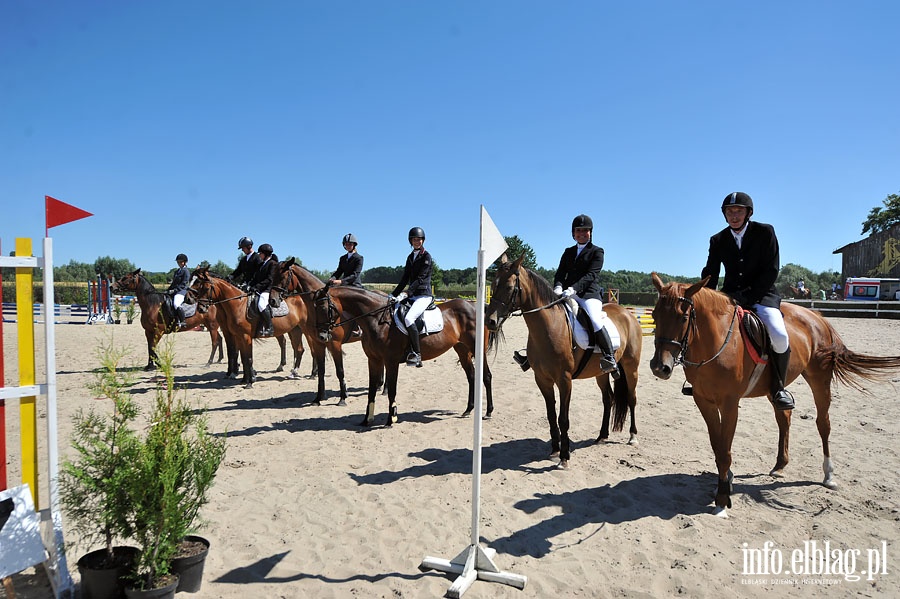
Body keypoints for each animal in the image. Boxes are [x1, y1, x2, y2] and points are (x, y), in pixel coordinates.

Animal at [310, 284, 492, 426]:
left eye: (324, 308)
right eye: (314, 308)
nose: (322, 336)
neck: (377, 319)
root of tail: (475, 306)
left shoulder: (391, 361)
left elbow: (392, 390)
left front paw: (391, 418)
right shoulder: (373, 360)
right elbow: (371, 390)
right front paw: (367, 419)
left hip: (477, 349)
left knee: (486, 376)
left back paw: (488, 412)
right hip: (462, 350)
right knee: (471, 376)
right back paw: (468, 409)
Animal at [488, 253, 644, 468]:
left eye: (510, 287)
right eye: (493, 285)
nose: (490, 321)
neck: (550, 327)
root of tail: (627, 313)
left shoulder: (564, 380)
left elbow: (563, 418)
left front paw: (564, 457)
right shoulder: (542, 379)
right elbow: (551, 415)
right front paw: (555, 450)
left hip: (631, 368)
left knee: (631, 398)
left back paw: (633, 436)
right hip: (601, 373)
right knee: (608, 399)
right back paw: (602, 436)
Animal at [652, 276, 900, 516]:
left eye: (683, 317)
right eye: (654, 315)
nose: (659, 367)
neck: (717, 341)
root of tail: (818, 317)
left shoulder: (729, 404)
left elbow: (725, 451)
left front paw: (722, 500)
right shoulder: (704, 402)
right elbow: (718, 447)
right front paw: (725, 484)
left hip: (819, 379)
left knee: (823, 423)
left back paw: (829, 475)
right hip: (775, 388)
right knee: (785, 417)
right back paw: (780, 465)